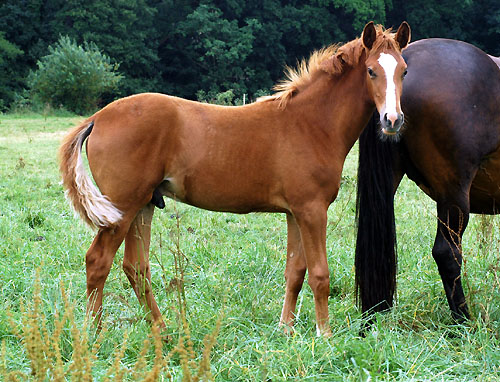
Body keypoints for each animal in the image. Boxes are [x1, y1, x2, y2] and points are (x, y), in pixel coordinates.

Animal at [59, 22, 410, 336]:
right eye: (371, 71)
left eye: (404, 71)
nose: (392, 120)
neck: (311, 124)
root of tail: (97, 118)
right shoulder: (312, 211)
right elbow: (319, 274)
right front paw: (324, 335)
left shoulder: (295, 212)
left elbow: (295, 272)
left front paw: (285, 329)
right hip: (121, 207)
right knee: (98, 261)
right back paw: (94, 334)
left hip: (143, 205)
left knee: (136, 267)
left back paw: (162, 330)